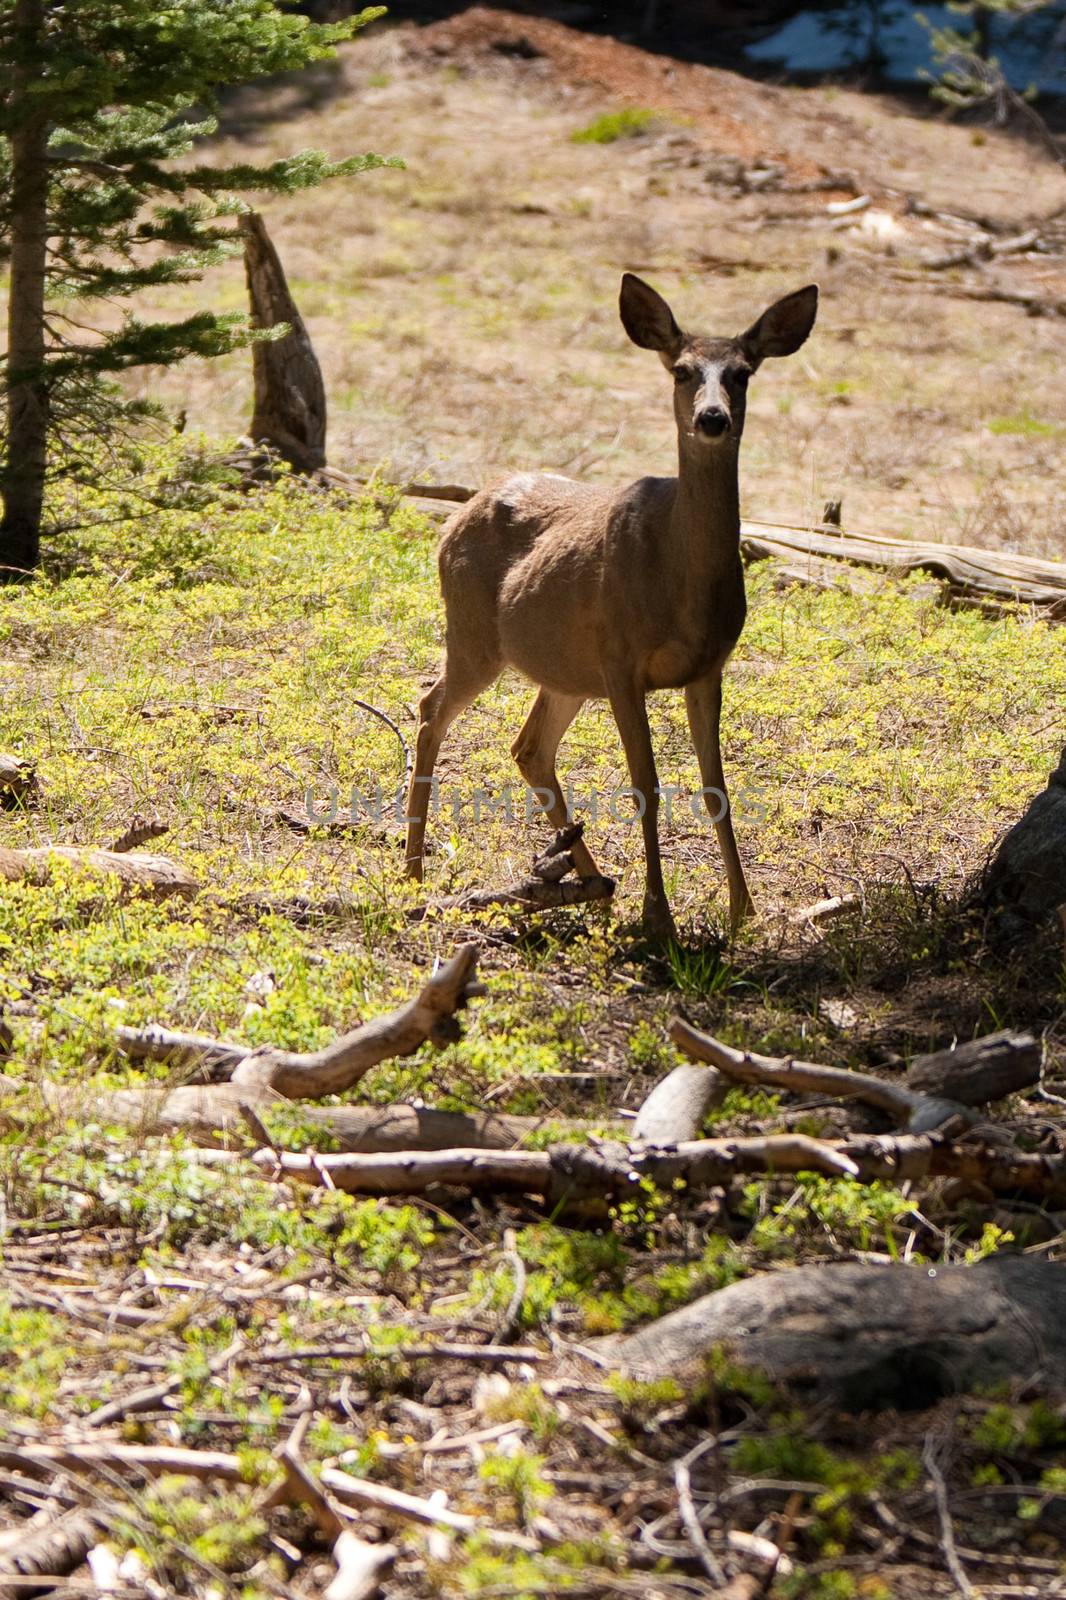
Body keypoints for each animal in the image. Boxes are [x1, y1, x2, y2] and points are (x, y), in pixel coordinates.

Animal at [403, 276, 816, 940]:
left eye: (743, 373)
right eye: (681, 370)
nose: (712, 417)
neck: (682, 583)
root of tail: (452, 519)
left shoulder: (709, 667)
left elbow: (716, 787)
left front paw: (743, 912)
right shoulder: (623, 661)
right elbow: (645, 784)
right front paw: (659, 916)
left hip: (565, 671)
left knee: (528, 748)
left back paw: (593, 887)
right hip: (473, 635)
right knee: (431, 708)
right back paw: (414, 870)